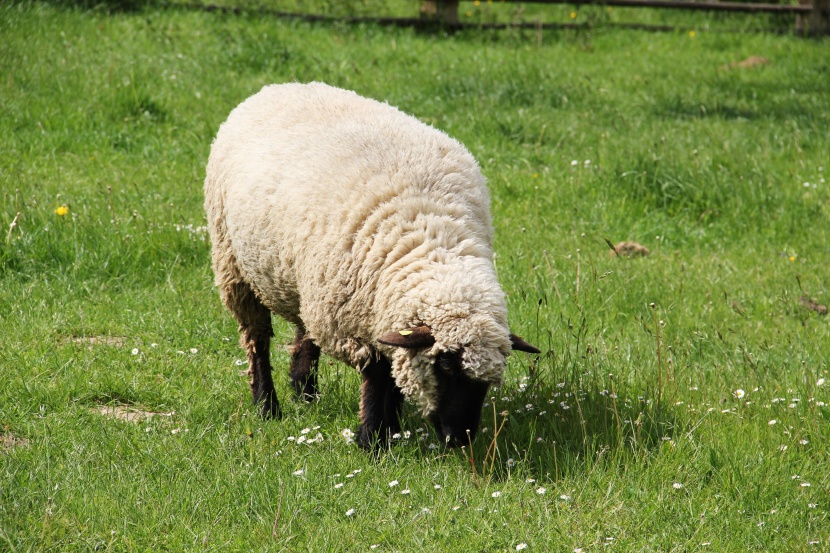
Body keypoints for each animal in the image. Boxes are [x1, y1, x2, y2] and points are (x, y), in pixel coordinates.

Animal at [206, 82, 544, 448]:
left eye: (487, 382)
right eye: (445, 365)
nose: (460, 438)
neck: (430, 237)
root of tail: (281, 86)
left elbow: (393, 372)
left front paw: (392, 430)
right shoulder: (355, 321)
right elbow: (378, 376)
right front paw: (372, 438)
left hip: (307, 280)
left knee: (305, 332)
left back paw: (304, 391)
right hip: (234, 265)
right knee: (257, 341)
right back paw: (267, 406)